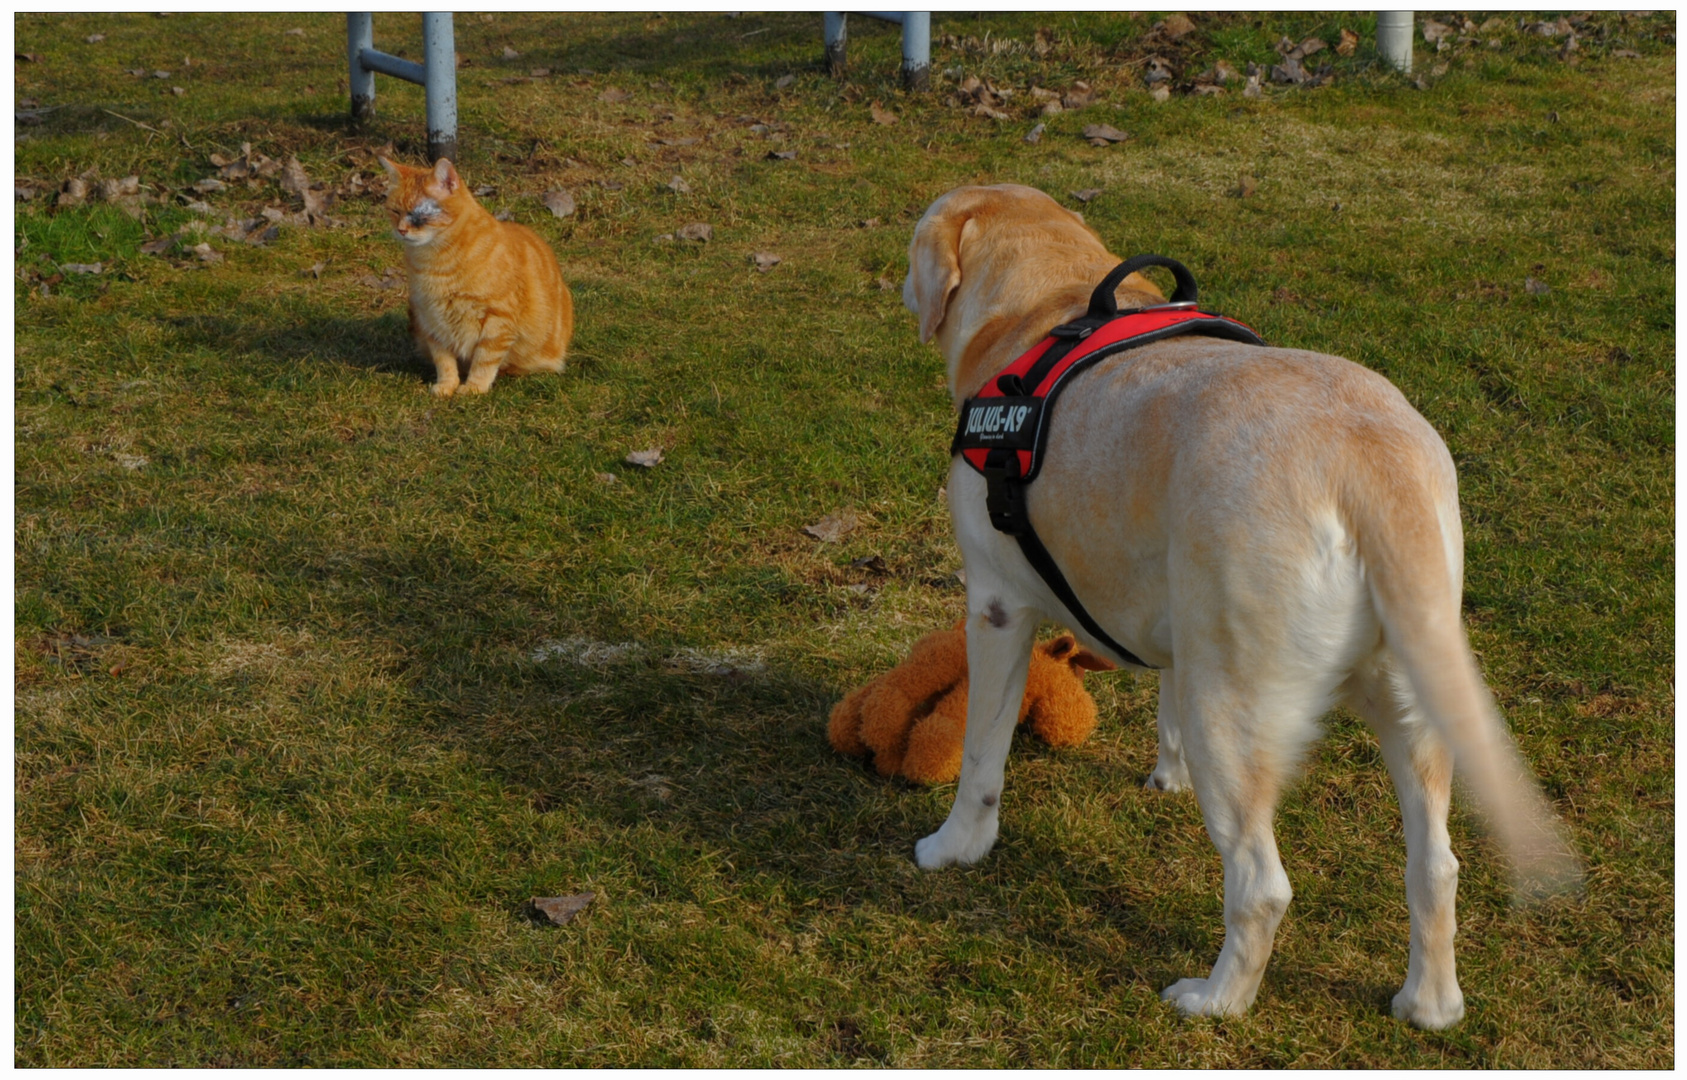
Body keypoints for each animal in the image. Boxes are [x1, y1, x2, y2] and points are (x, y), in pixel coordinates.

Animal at [377, 156, 573, 396]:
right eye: (395, 211)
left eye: (420, 214)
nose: (402, 230)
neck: (437, 265)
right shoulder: (432, 321)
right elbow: (444, 361)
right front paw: (446, 386)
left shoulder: (498, 320)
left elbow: (484, 360)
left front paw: (474, 388)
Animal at [904, 185, 1572, 1026]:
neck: (1049, 302)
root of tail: (1366, 459)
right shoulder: (1176, 618)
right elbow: (1163, 702)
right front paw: (1167, 776)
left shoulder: (995, 610)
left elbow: (979, 756)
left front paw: (952, 847)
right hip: (1413, 702)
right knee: (1436, 867)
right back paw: (1429, 1004)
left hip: (1233, 711)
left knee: (1260, 886)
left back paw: (1216, 999)